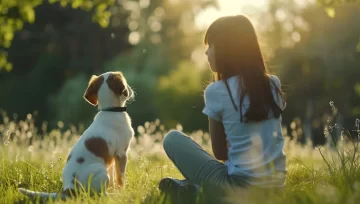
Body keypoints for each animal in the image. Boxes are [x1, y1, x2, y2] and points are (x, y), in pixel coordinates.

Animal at [18, 71, 134, 201]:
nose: (131, 89)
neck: (111, 110)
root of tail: (68, 189)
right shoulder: (121, 154)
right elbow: (120, 178)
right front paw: (122, 192)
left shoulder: (113, 157)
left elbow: (115, 177)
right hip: (101, 171)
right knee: (97, 194)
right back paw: (112, 196)